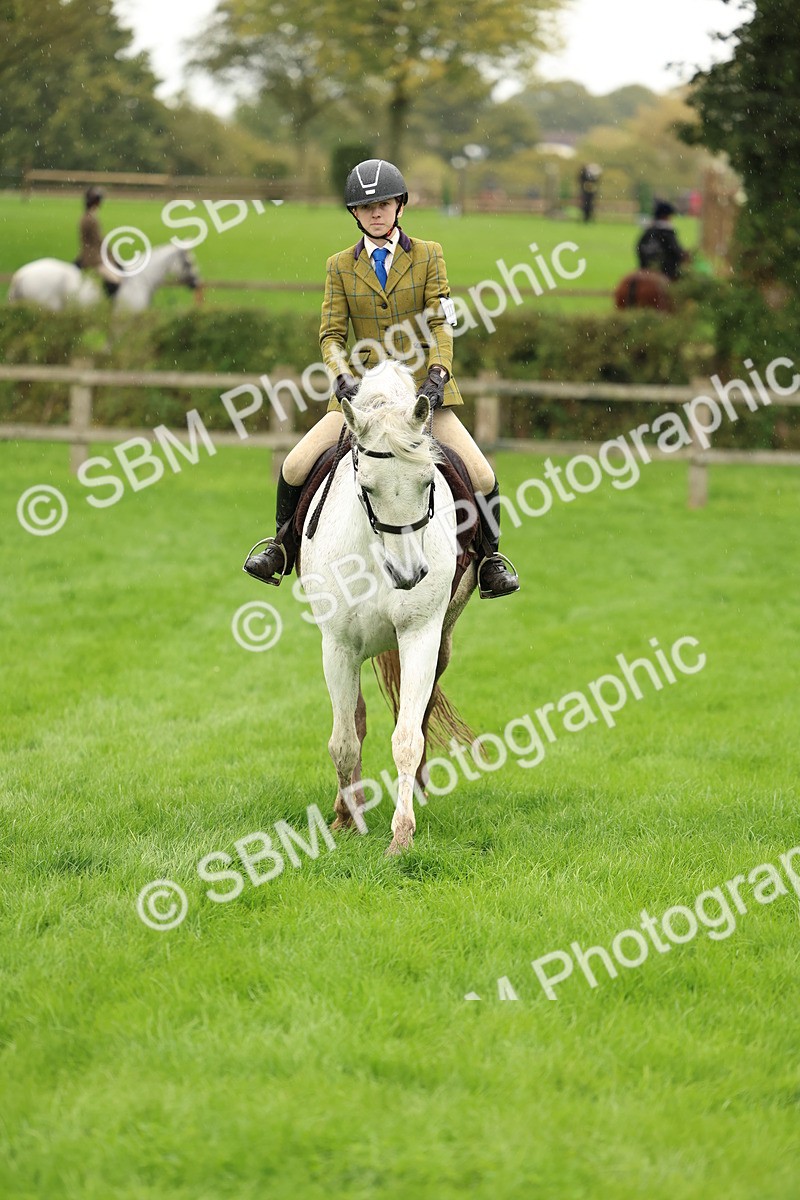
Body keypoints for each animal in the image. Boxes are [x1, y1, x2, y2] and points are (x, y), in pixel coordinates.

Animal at [298, 361, 477, 856]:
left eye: (428, 481)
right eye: (367, 487)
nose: (409, 573)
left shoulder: (419, 634)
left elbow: (407, 737)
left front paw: (401, 836)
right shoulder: (337, 646)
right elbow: (343, 740)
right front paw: (346, 821)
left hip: (443, 637)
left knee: (419, 709)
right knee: (355, 720)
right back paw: (349, 806)